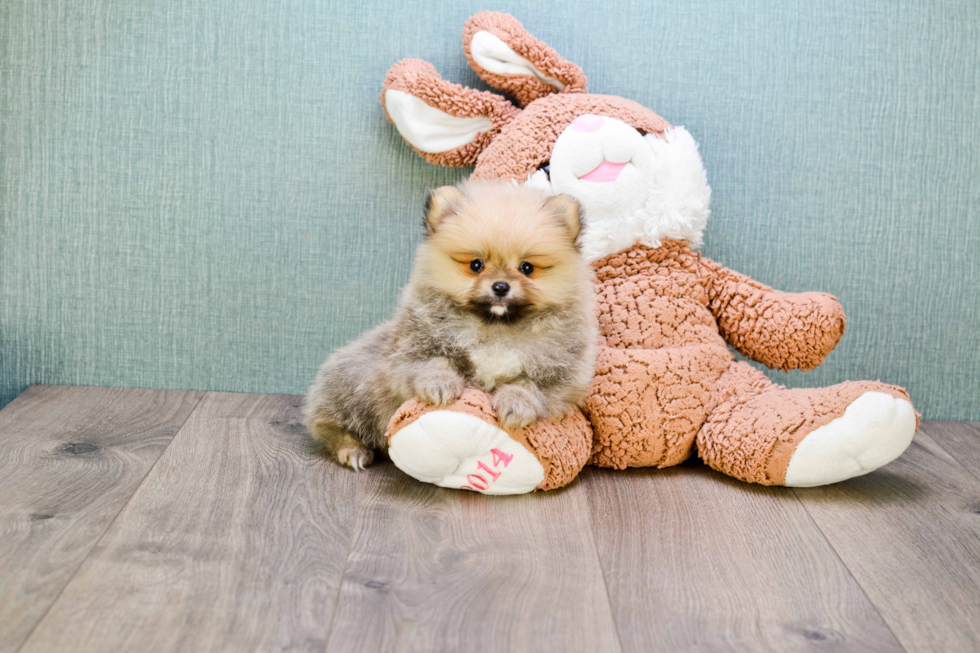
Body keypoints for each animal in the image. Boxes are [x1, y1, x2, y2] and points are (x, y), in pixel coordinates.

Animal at [306, 180, 596, 468]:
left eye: (526, 268)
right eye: (476, 265)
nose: (501, 286)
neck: (495, 326)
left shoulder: (559, 371)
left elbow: (527, 385)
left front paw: (516, 404)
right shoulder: (415, 347)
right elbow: (434, 363)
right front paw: (439, 385)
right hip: (352, 382)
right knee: (327, 424)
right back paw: (352, 450)